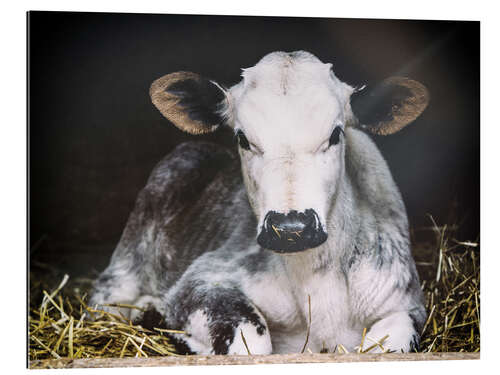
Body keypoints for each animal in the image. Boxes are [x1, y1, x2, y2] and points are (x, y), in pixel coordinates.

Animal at [91, 50, 430, 356]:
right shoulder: (203, 278)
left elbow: (389, 345)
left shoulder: (406, 303)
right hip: (129, 254)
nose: (291, 227)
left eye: (335, 134)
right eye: (243, 138)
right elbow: (252, 343)